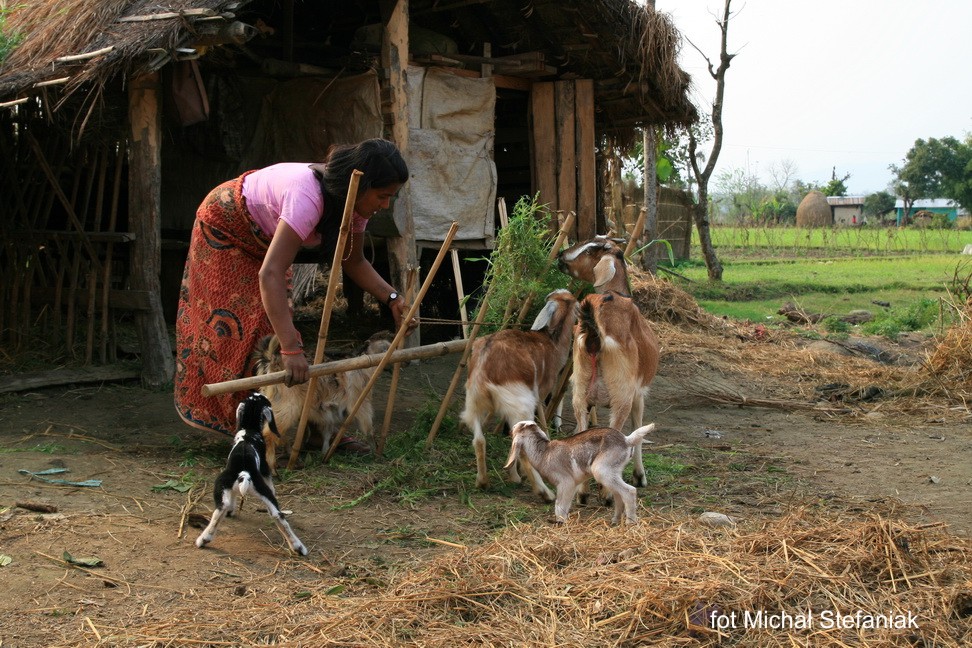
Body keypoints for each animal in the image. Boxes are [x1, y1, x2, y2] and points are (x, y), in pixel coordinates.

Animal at [252, 332, 392, 474]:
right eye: (384, 349)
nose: (395, 366)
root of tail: (272, 361)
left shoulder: (328, 410)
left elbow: (327, 432)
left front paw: (325, 454)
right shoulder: (360, 403)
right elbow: (368, 429)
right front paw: (376, 453)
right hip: (287, 406)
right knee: (268, 435)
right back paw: (273, 469)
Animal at [458, 290, 572, 502]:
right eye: (571, 302)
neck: (550, 341)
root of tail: (485, 362)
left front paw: (512, 473)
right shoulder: (539, 395)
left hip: (474, 401)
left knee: (479, 440)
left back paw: (483, 481)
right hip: (520, 404)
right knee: (523, 445)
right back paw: (544, 492)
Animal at [556, 237, 660, 486]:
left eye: (591, 249)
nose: (561, 256)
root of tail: (595, 334)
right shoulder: (638, 393)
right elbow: (638, 429)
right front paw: (640, 476)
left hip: (580, 391)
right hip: (621, 395)